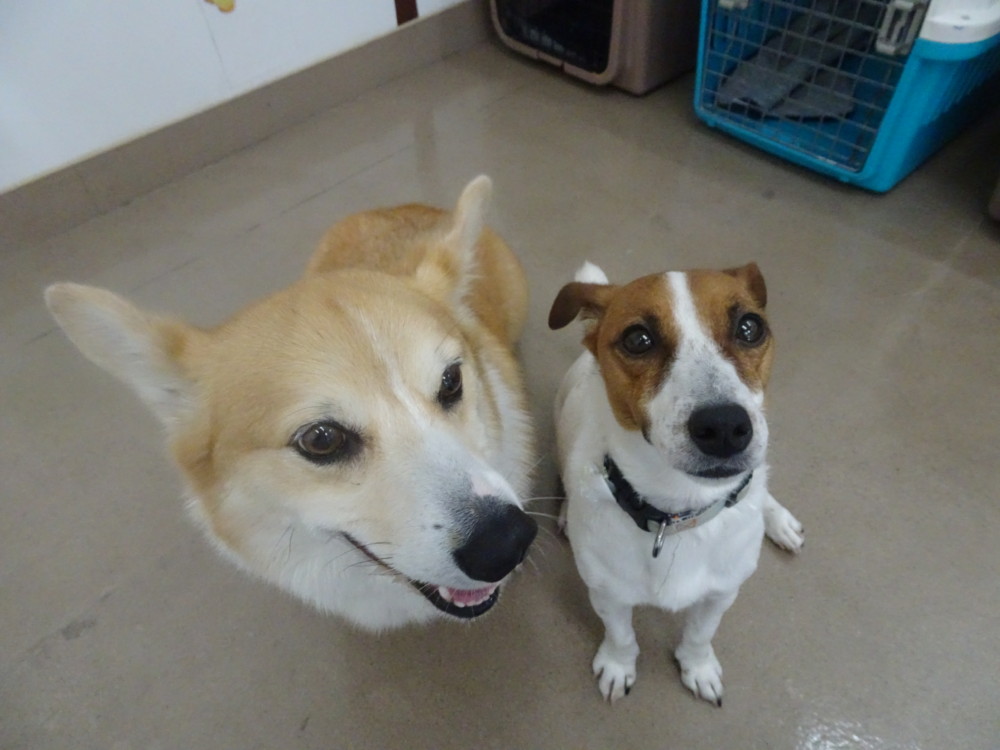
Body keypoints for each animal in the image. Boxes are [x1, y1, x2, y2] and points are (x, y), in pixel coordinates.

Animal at [549, 260, 803, 704]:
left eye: (749, 327)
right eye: (638, 339)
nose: (724, 426)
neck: (677, 514)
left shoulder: (721, 592)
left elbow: (700, 634)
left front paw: (697, 667)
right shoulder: (608, 593)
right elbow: (621, 636)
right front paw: (618, 666)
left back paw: (778, 520)